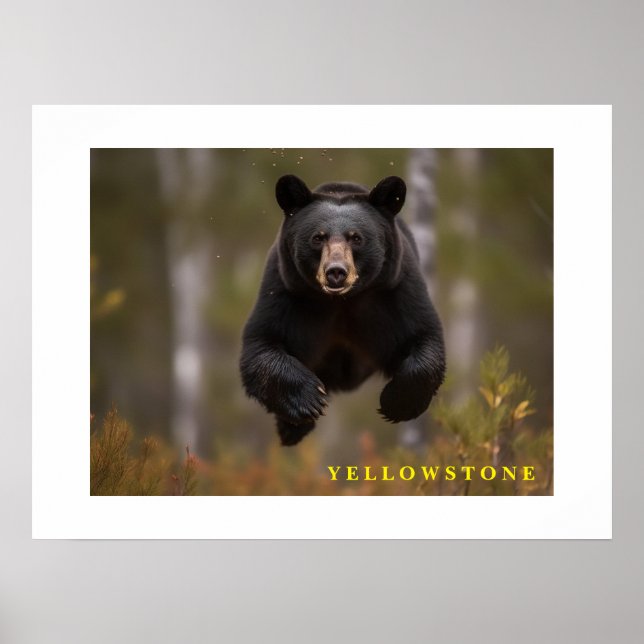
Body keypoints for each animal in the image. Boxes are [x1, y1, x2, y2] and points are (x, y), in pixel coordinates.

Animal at [239, 174, 446, 446]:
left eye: (356, 237)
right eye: (318, 237)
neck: (342, 300)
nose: (336, 271)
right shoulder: (285, 290)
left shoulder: (396, 290)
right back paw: (292, 429)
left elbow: (423, 337)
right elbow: (262, 344)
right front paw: (309, 400)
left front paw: (395, 403)